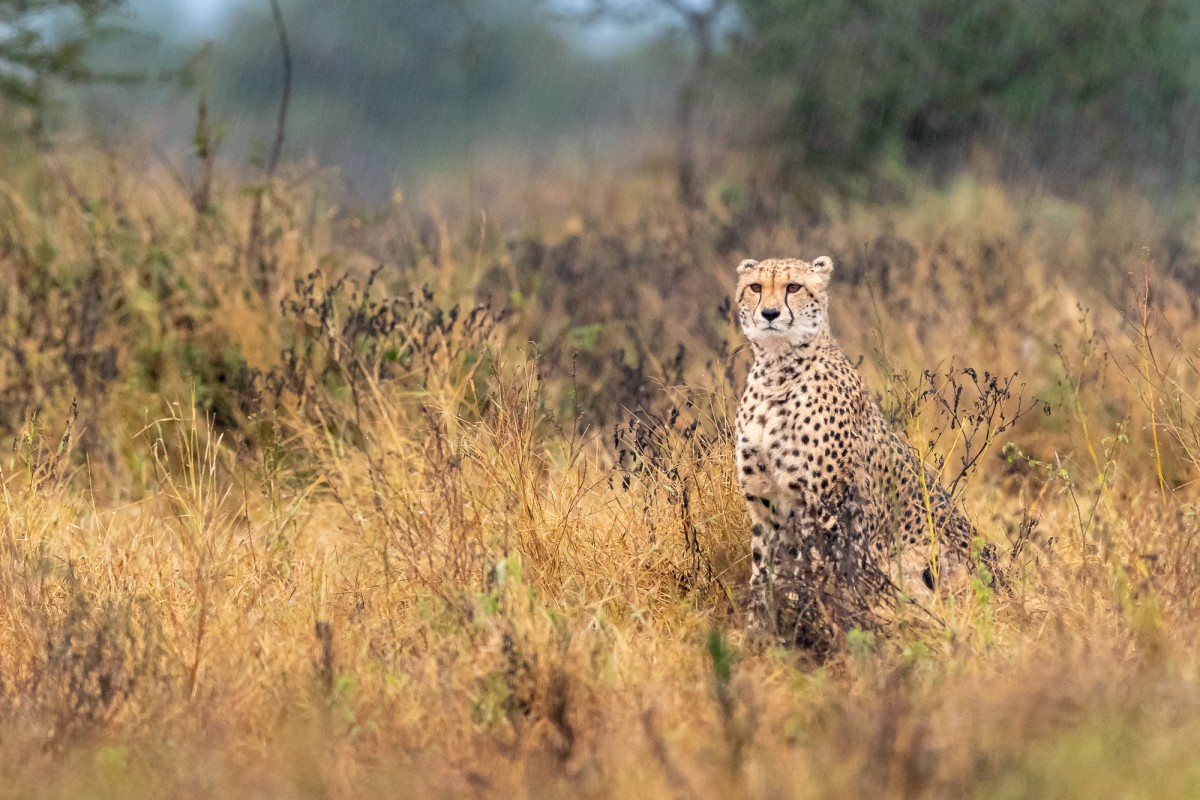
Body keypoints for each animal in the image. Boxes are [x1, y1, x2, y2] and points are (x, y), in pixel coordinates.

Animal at [734, 256, 998, 652]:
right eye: (755, 287)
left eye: (794, 287)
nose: (769, 313)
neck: (777, 372)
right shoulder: (767, 508)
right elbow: (763, 573)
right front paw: (757, 632)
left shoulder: (829, 508)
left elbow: (817, 573)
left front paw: (814, 624)